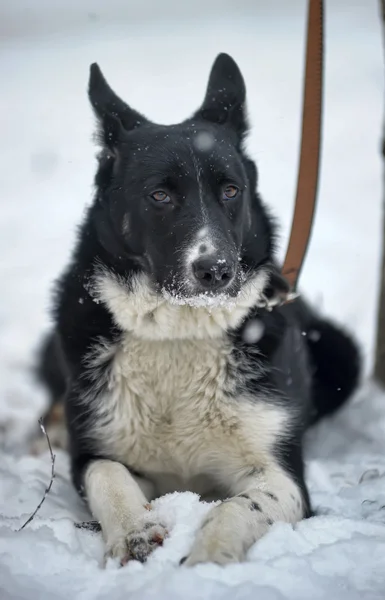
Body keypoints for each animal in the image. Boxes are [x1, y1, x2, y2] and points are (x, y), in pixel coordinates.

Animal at [36, 54, 360, 564]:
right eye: (160, 195)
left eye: (230, 191)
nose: (217, 270)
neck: (177, 330)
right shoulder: (96, 449)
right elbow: (109, 477)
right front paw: (134, 530)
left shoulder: (281, 472)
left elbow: (239, 506)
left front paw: (210, 556)